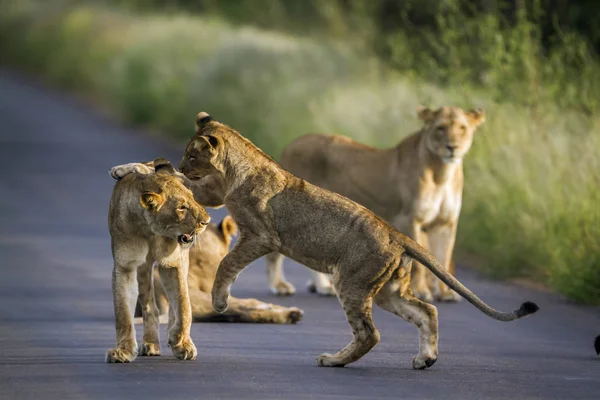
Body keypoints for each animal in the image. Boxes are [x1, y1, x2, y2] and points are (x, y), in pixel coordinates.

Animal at [105, 159, 211, 362]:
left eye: (193, 199)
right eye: (181, 207)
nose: (207, 221)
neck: (150, 230)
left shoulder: (173, 263)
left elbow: (184, 306)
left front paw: (179, 340)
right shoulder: (125, 265)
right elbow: (123, 312)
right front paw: (123, 351)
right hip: (144, 269)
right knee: (150, 308)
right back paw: (151, 344)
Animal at [264, 106, 486, 304]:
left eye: (463, 128)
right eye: (440, 128)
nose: (452, 147)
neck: (442, 172)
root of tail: (291, 145)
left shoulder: (445, 223)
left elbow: (444, 255)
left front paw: (446, 294)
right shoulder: (409, 218)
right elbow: (420, 265)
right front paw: (423, 292)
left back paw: (322, 287)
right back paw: (281, 286)